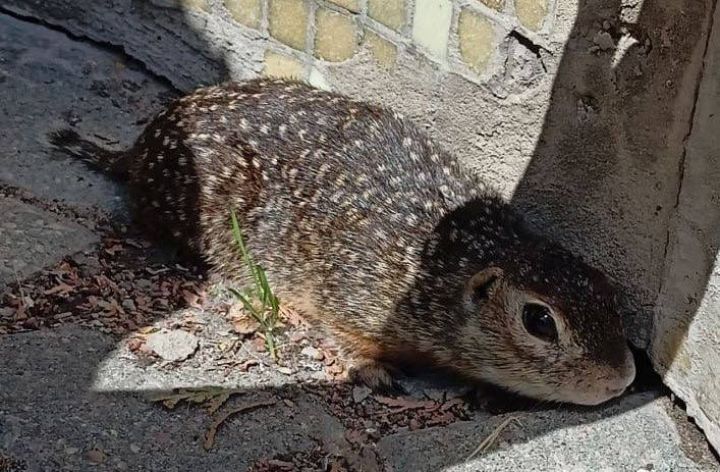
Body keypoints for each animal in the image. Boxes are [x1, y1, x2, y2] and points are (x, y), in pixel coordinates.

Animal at [50, 77, 636, 406]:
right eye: (539, 321)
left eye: (610, 294)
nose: (623, 377)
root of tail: (137, 150)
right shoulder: (354, 294)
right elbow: (344, 334)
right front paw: (374, 371)